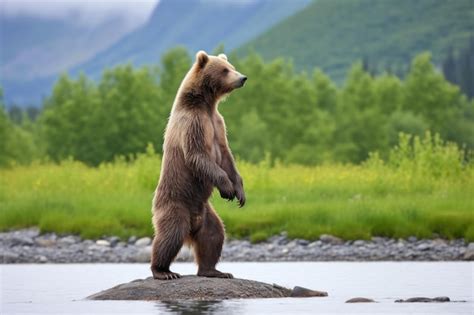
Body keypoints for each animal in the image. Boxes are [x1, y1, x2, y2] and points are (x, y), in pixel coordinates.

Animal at [151, 50, 248, 280]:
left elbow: (226, 157)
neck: (205, 104)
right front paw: (227, 188)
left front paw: (240, 192)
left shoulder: (218, 124)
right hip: (175, 205)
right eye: (225, 70)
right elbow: (198, 156)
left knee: (214, 235)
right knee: (170, 235)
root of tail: (191, 227)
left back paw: (214, 270)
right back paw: (163, 271)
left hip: (206, 213)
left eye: (231, 66)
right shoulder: (193, 124)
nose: (242, 78)